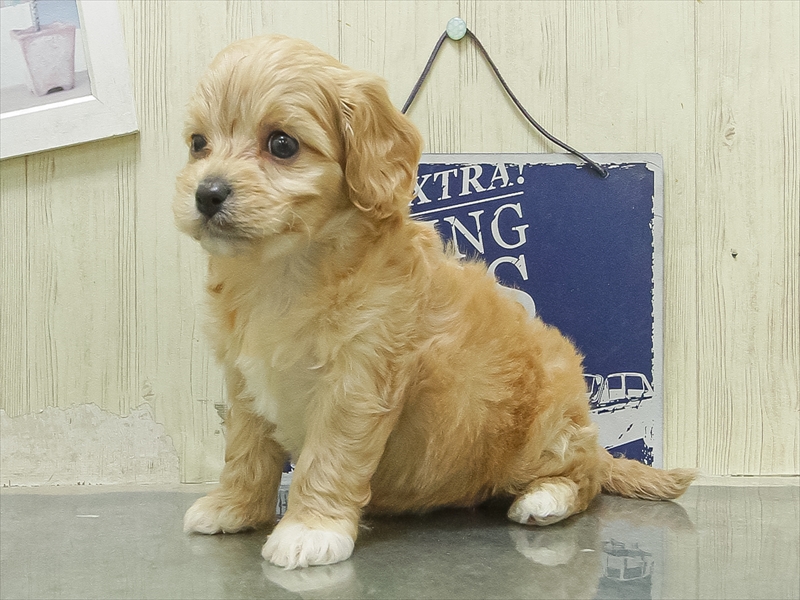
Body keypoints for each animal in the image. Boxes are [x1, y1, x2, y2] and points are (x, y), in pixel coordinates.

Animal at [174, 35, 695, 569]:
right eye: (198, 144)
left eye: (282, 144)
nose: (207, 194)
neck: (283, 268)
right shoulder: (244, 379)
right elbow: (245, 450)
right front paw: (234, 506)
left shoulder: (357, 382)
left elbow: (329, 457)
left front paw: (309, 529)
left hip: (546, 429)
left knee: (584, 477)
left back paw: (545, 498)